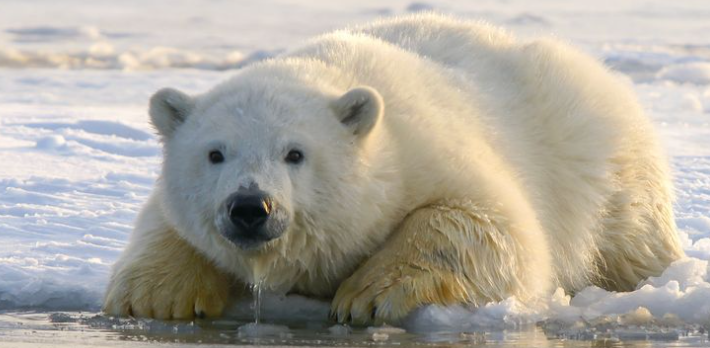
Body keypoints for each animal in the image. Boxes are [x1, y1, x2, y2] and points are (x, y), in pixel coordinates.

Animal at [103, 13, 688, 324]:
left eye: (295, 153)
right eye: (215, 153)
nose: (251, 207)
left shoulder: (429, 151)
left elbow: (493, 226)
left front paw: (367, 295)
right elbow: (163, 221)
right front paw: (156, 296)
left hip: (601, 161)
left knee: (630, 237)